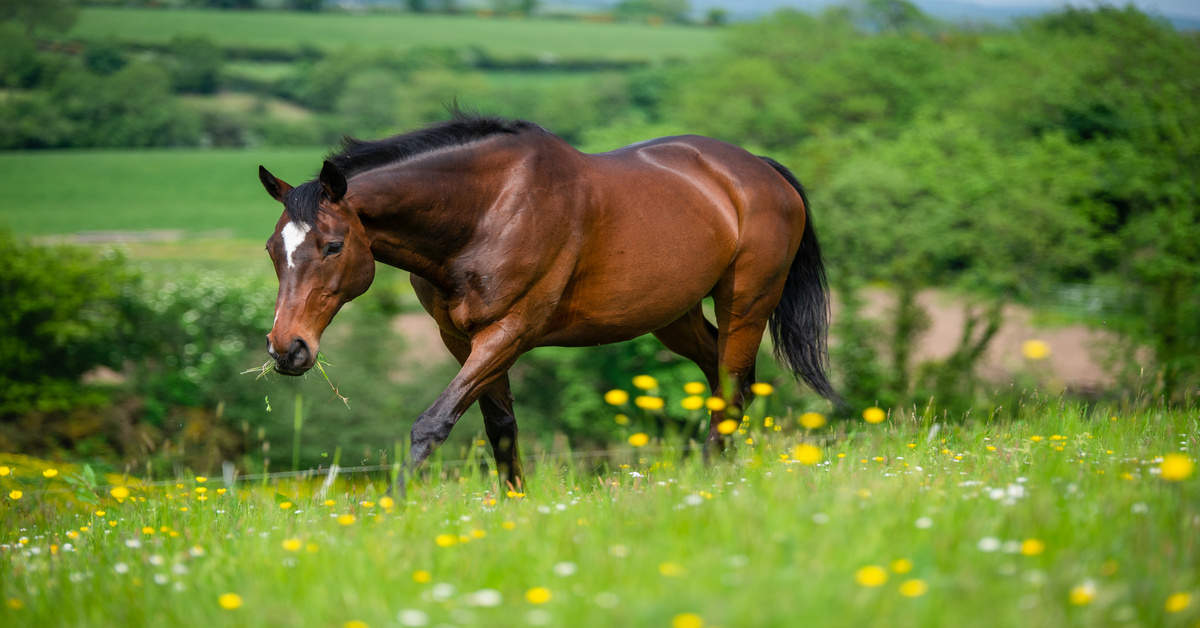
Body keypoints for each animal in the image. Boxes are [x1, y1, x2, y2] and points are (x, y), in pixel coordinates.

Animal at [258, 110, 838, 494]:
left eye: (333, 246)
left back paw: (711, 483)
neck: (488, 209)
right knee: (725, 381)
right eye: (271, 249)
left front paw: (393, 509)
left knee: (732, 389)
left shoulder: (509, 333)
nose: (287, 349)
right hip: (676, 316)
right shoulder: (462, 339)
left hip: (747, 303)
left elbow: (433, 423)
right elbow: (500, 430)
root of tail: (760, 169)